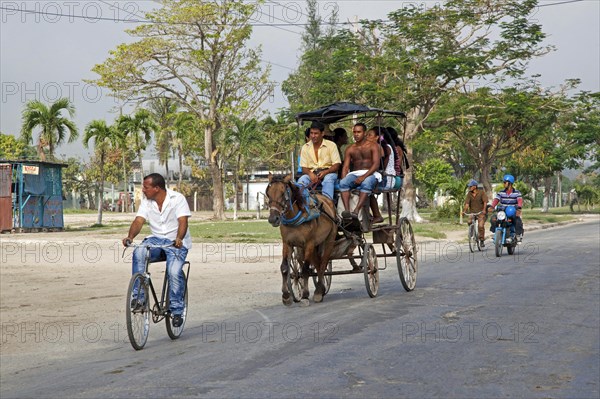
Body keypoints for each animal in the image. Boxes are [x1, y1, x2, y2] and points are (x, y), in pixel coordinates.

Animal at [266, 173, 338, 306]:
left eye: (283, 193)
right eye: (268, 193)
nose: (273, 218)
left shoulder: (309, 243)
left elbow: (305, 270)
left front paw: (304, 296)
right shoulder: (287, 243)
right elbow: (285, 268)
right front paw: (286, 296)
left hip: (329, 239)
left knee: (323, 264)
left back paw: (318, 291)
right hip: (311, 246)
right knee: (316, 263)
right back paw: (321, 288)